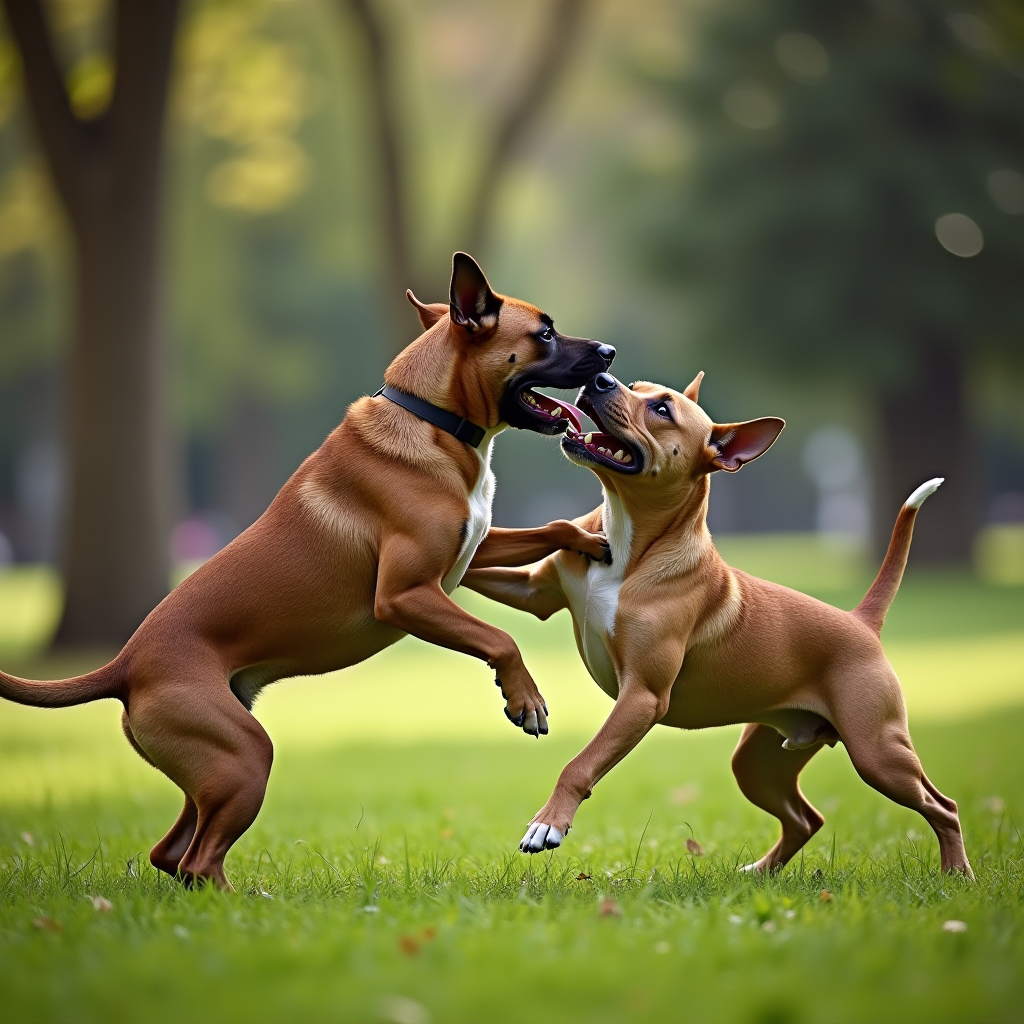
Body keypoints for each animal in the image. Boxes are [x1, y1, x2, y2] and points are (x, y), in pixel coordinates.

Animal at [0, 253, 614, 888]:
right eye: (544, 334)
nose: (610, 352)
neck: (435, 419)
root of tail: (124, 665)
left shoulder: (472, 551)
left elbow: (550, 530)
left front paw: (591, 542)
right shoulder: (405, 595)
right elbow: (499, 638)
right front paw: (525, 700)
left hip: (212, 771)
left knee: (172, 855)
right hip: (245, 758)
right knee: (199, 859)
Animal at [468, 372, 970, 876]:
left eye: (663, 409)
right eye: (635, 385)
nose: (601, 378)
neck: (630, 542)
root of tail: (861, 621)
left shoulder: (642, 696)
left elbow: (580, 763)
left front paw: (547, 824)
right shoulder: (535, 591)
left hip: (877, 752)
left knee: (942, 806)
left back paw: (956, 874)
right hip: (758, 764)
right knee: (807, 818)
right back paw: (758, 874)